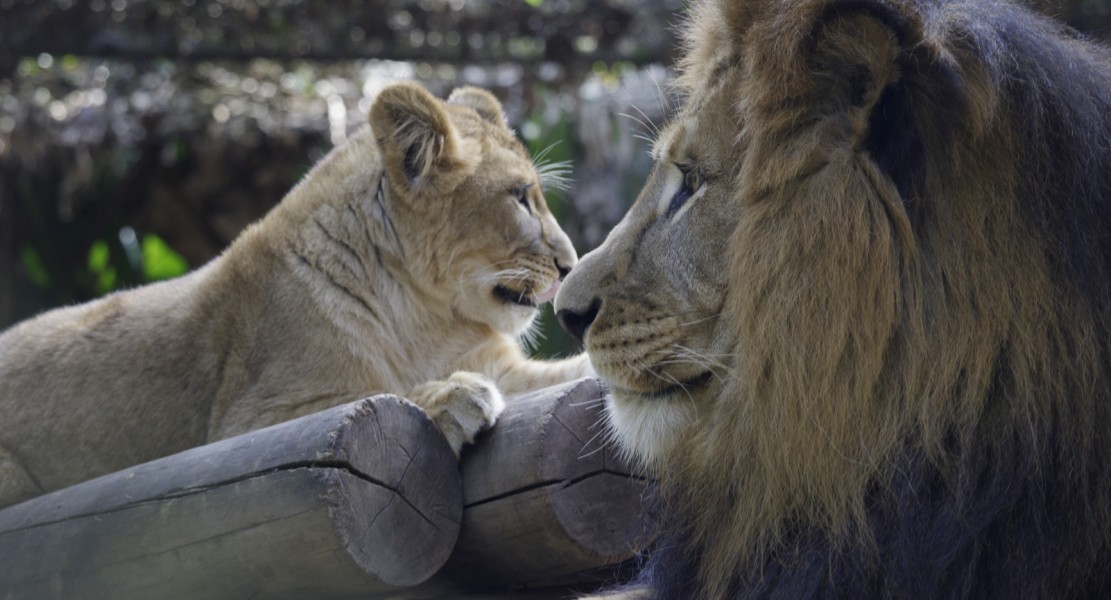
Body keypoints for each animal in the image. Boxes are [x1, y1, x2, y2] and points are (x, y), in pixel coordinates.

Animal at [0, 82, 595, 508]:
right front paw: (453, 395)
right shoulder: (237, 432)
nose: (570, 264)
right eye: (520, 197)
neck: (426, 315)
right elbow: (372, 394)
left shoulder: (503, 365)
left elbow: (582, 372)